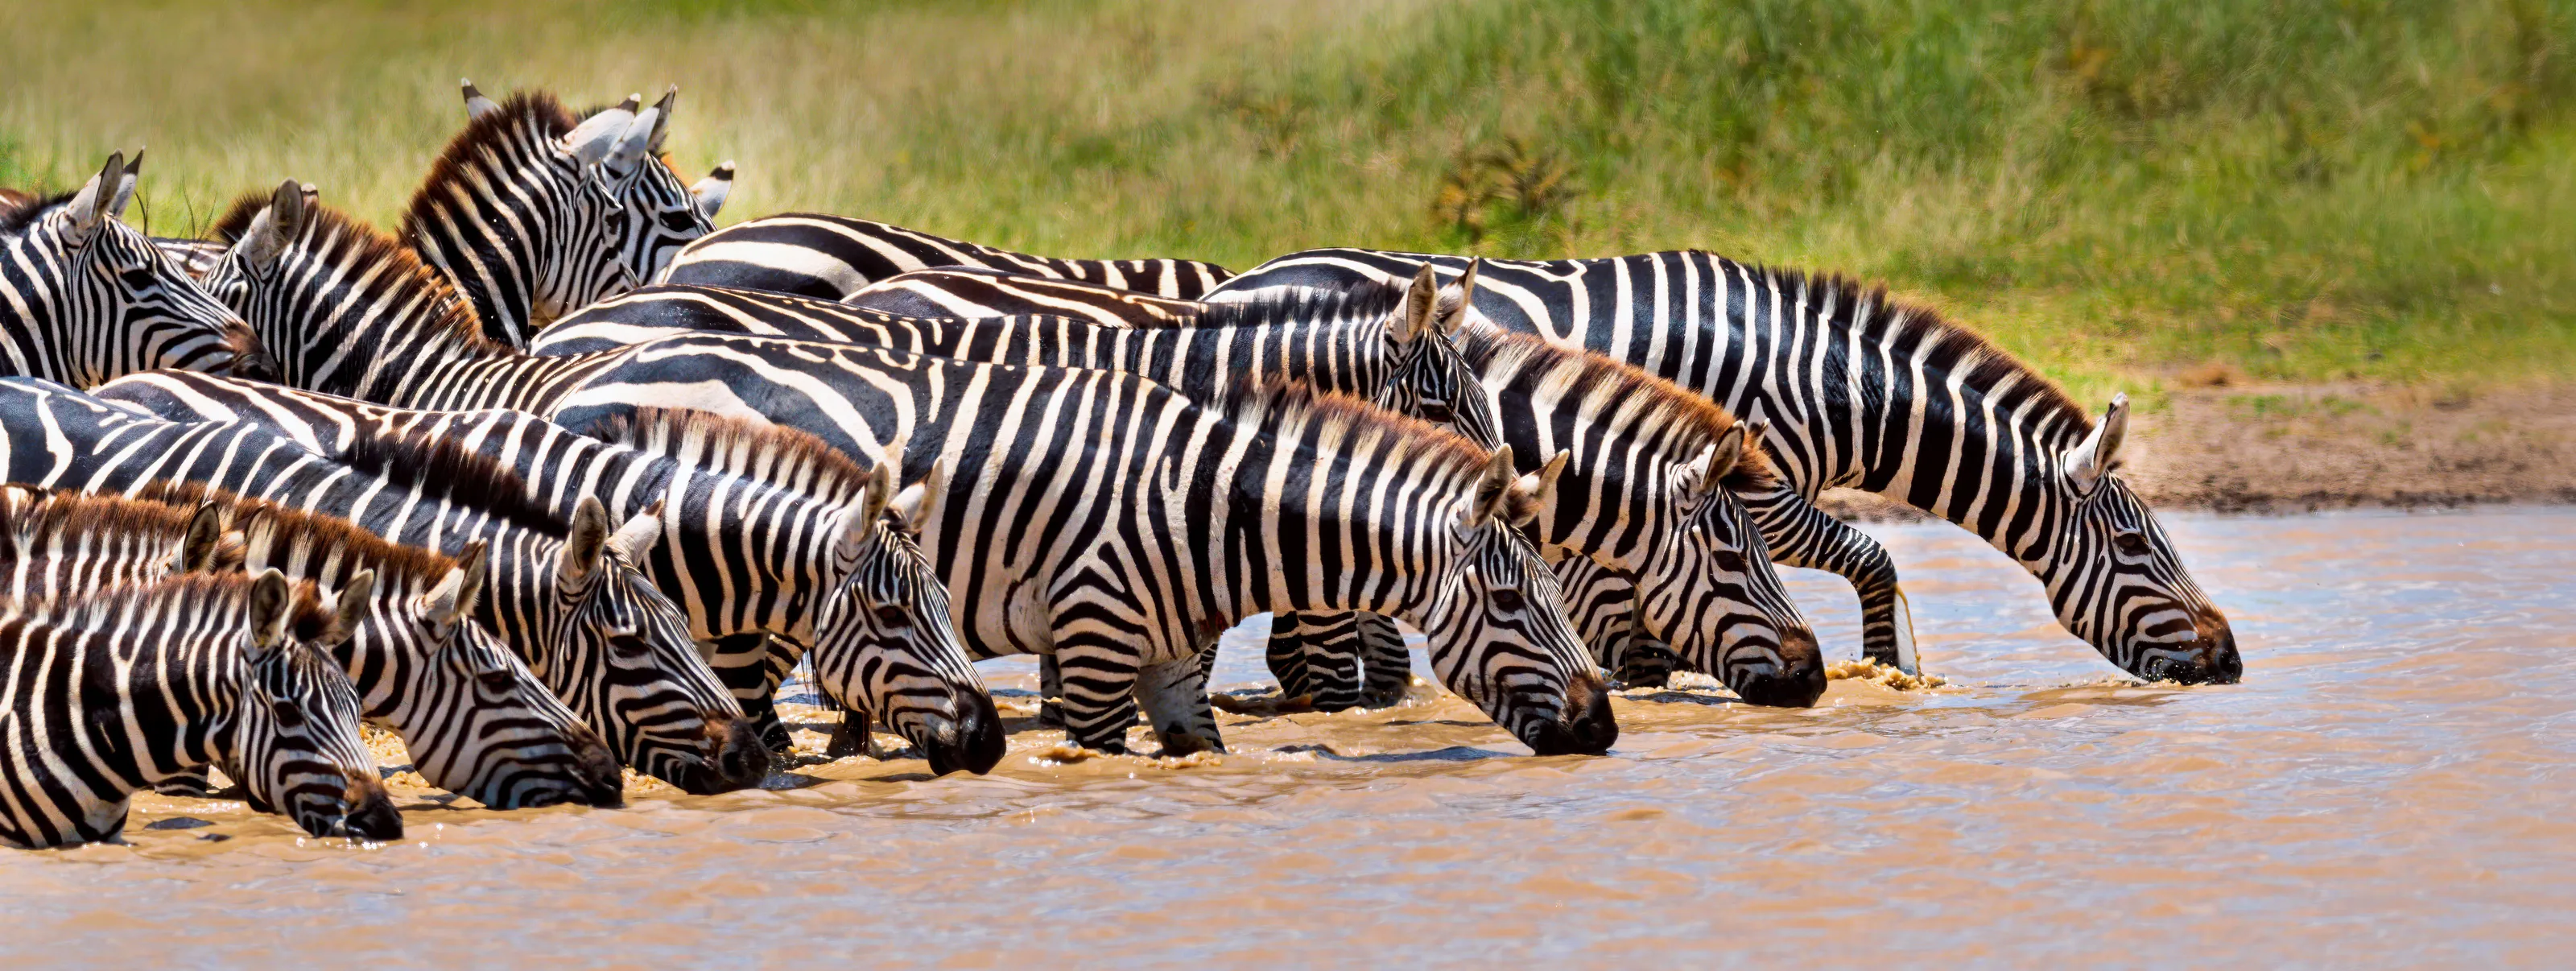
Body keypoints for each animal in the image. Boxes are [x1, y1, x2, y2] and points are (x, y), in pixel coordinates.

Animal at [1209, 250, 2242, 684]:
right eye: (2137, 546)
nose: (2228, 661)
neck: (1826, 383)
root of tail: (1231, 285)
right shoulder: (1763, 493)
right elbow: (1874, 560)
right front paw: (1887, 672)